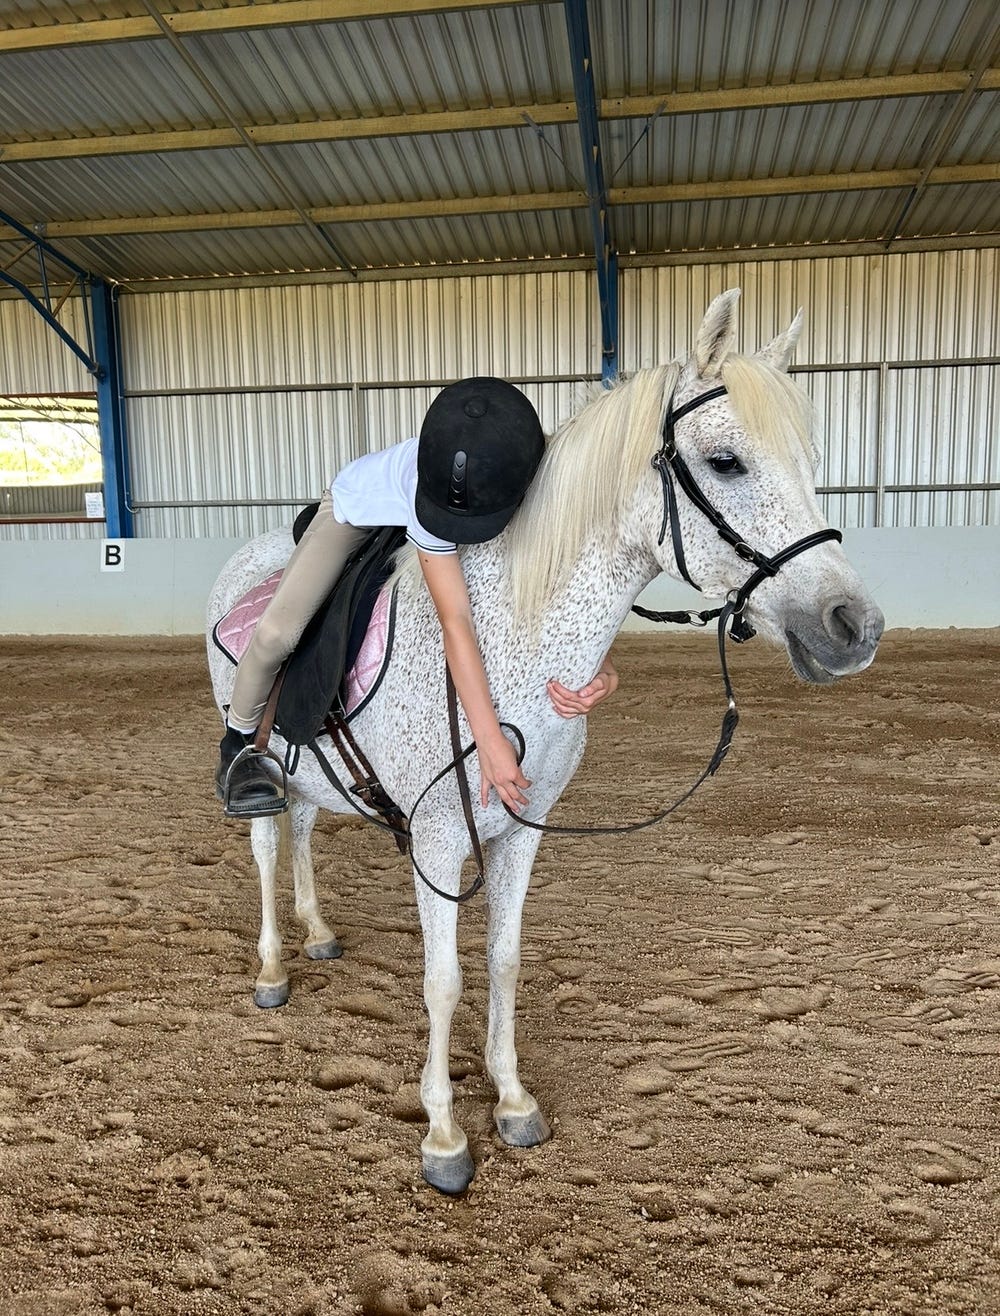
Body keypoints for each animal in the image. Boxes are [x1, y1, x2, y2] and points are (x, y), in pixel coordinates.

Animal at [206, 289, 884, 1194]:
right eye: (727, 462)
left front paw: (514, 1100)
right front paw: (444, 1136)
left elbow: (502, 961)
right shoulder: (439, 837)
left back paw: (316, 935)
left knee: (308, 829)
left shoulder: (521, 832)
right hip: (264, 754)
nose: (855, 626)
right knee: (266, 845)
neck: (516, 639)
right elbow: (444, 980)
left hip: (311, 764)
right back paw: (275, 967)